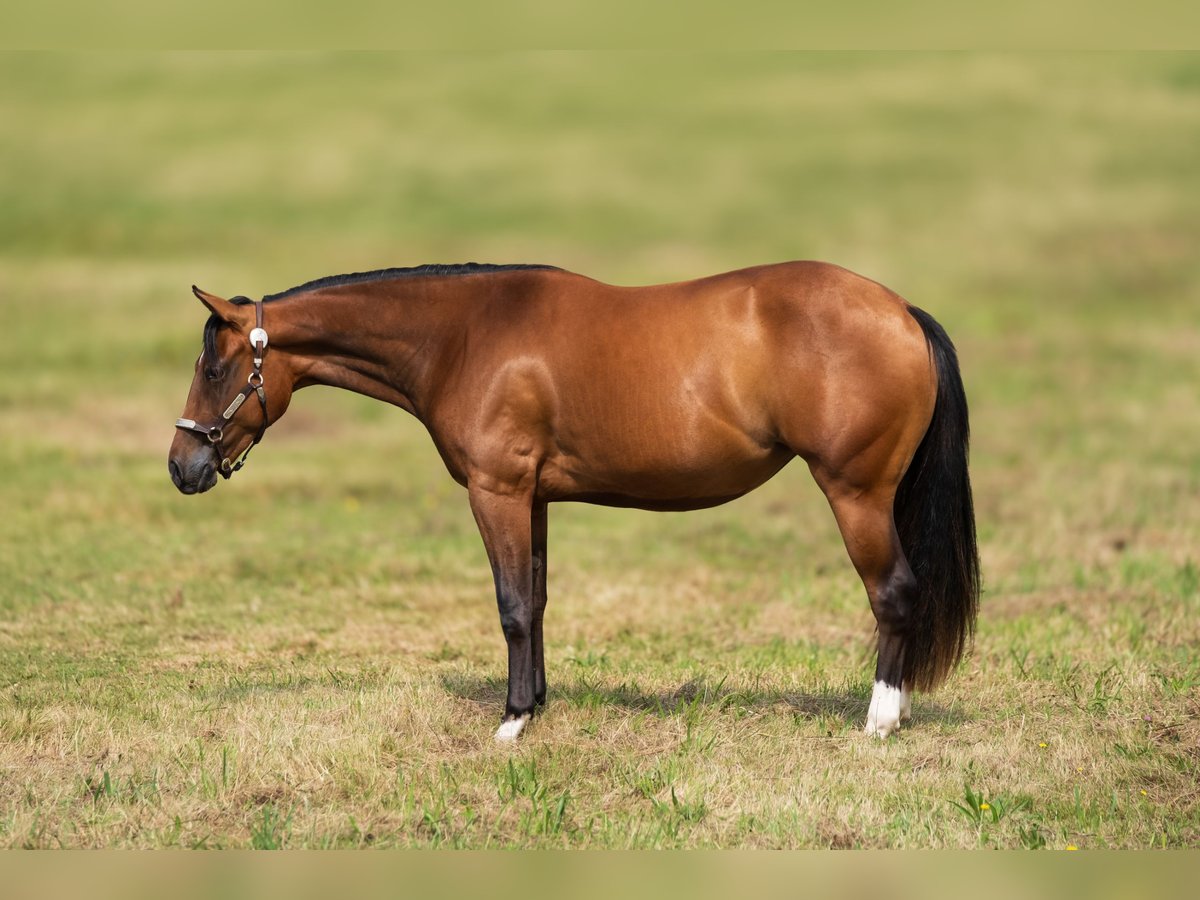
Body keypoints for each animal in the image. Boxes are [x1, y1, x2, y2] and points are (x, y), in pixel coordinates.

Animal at [166, 260, 974, 739]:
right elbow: (539, 599)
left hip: (856, 492)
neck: (463, 336)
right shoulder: (535, 498)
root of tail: (902, 309)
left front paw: (512, 722)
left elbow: (512, 606)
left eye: (214, 367)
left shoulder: (496, 492)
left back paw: (881, 719)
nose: (182, 466)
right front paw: (538, 703)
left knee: (894, 592)